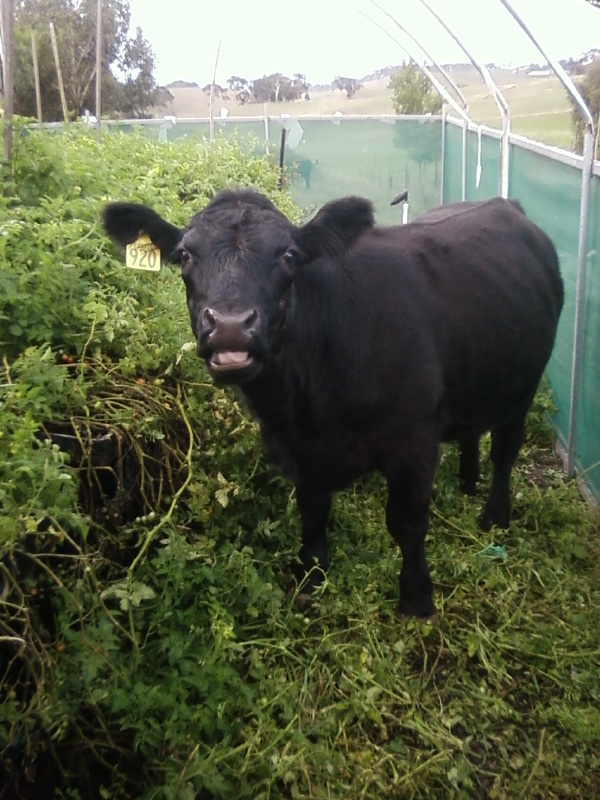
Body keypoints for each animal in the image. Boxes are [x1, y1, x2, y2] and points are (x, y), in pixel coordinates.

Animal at [102, 189, 564, 618]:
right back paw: (468, 482)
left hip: (525, 383)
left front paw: (416, 598)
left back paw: (494, 515)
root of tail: (505, 204)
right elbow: (312, 511)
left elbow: (407, 523)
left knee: (506, 450)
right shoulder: (298, 449)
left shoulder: (414, 443)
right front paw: (311, 575)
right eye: (184, 255)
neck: (311, 407)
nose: (231, 326)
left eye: (288, 254)